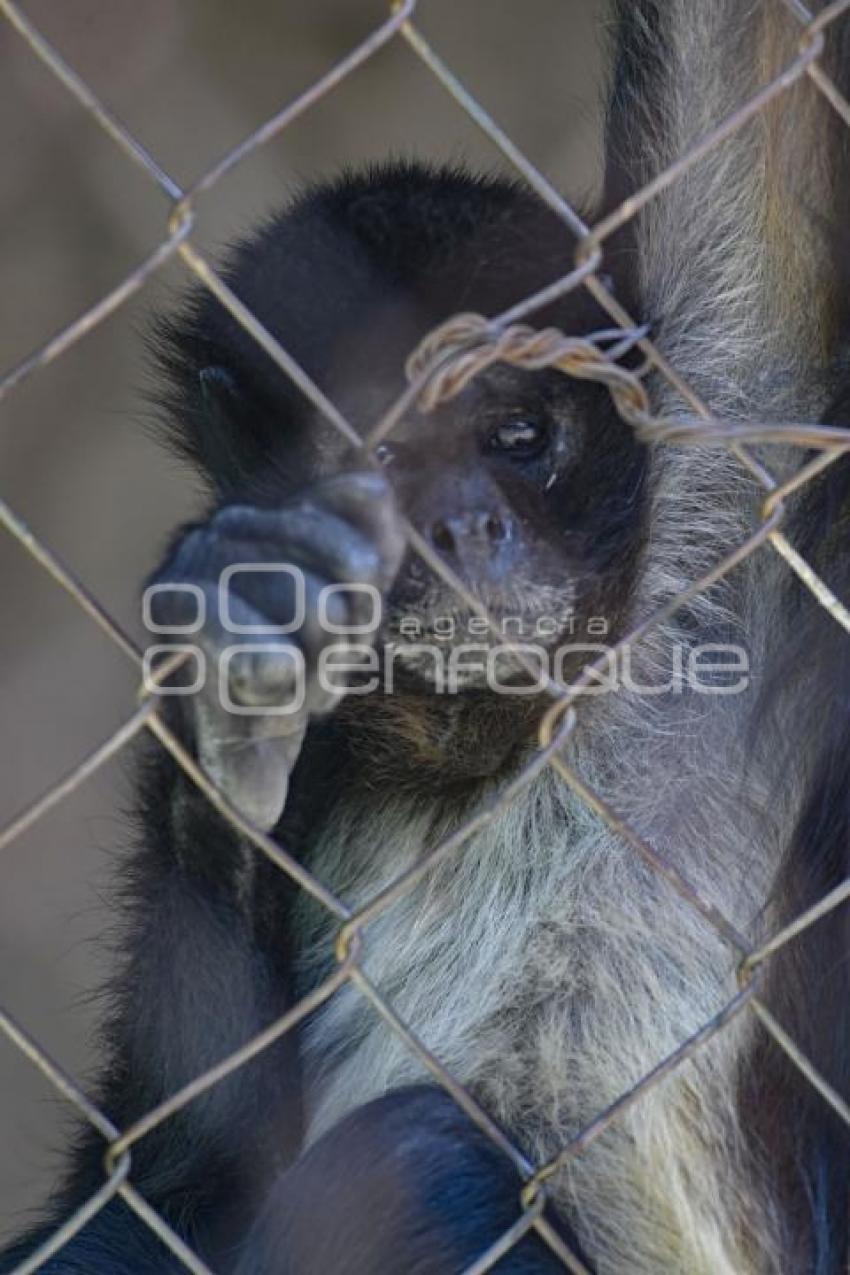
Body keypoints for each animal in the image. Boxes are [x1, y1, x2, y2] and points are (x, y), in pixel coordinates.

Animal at [4, 2, 850, 1275]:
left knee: (419, 1165)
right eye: (388, 456)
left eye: (516, 436)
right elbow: (170, 1192)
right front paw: (224, 702)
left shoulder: (722, 503)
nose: (464, 527)